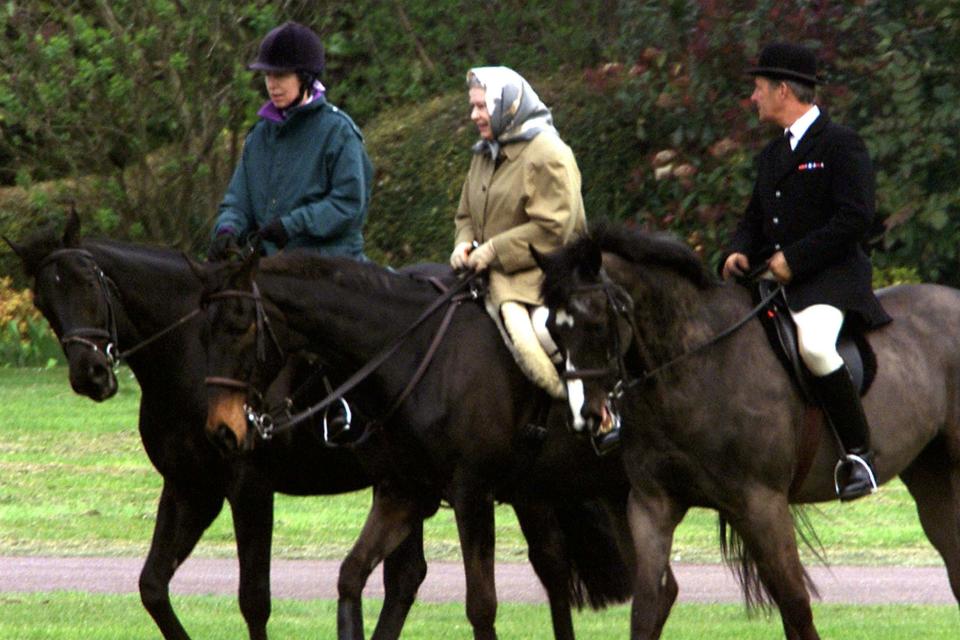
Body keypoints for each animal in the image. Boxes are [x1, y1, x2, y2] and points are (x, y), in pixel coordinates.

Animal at [3, 212, 432, 636]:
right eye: (43, 301)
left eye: (89, 283)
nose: (90, 374)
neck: (191, 352)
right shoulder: (190, 488)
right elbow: (152, 586)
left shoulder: (249, 487)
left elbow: (254, 601)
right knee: (405, 577)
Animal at [193, 250, 636, 640]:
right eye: (206, 330)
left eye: (241, 326)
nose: (223, 430)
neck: (415, 353)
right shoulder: (404, 493)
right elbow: (352, 576)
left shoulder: (472, 494)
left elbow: (481, 606)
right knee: (557, 570)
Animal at [532, 224, 960, 640]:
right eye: (552, 328)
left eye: (595, 323)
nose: (584, 417)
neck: (690, 367)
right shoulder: (653, 504)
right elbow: (648, 607)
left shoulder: (762, 504)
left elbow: (795, 607)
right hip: (930, 473)